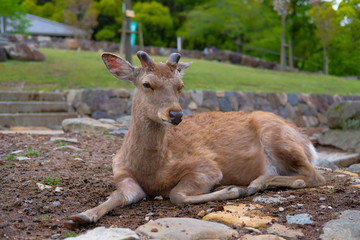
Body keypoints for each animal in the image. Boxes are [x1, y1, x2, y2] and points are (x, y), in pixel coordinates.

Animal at [64, 51, 326, 229]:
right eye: (147, 84)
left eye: (180, 85)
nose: (176, 114)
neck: (151, 169)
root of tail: (309, 144)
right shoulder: (121, 173)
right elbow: (118, 195)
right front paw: (82, 215)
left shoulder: (206, 166)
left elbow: (177, 195)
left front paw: (230, 190)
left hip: (278, 137)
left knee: (313, 175)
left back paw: (255, 183)